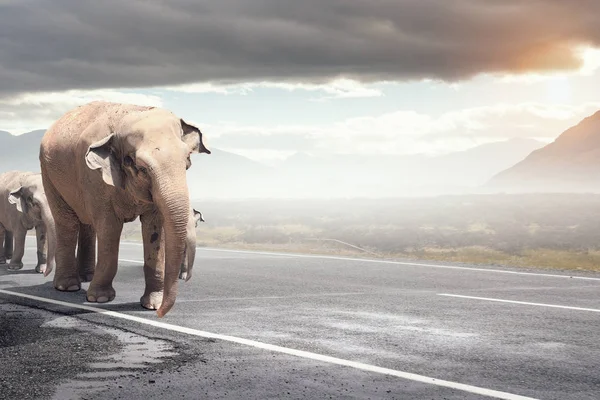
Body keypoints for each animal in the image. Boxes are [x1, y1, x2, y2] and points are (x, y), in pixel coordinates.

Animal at [39, 101, 211, 318]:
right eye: (141, 167)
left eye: (187, 159)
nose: (160, 313)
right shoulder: (94, 176)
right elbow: (109, 228)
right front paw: (100, 299)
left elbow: (155, 229)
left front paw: (151, 304)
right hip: (49, 174)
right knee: (67, 223)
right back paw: (68, 287)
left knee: (87, 224)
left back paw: (87, 277)